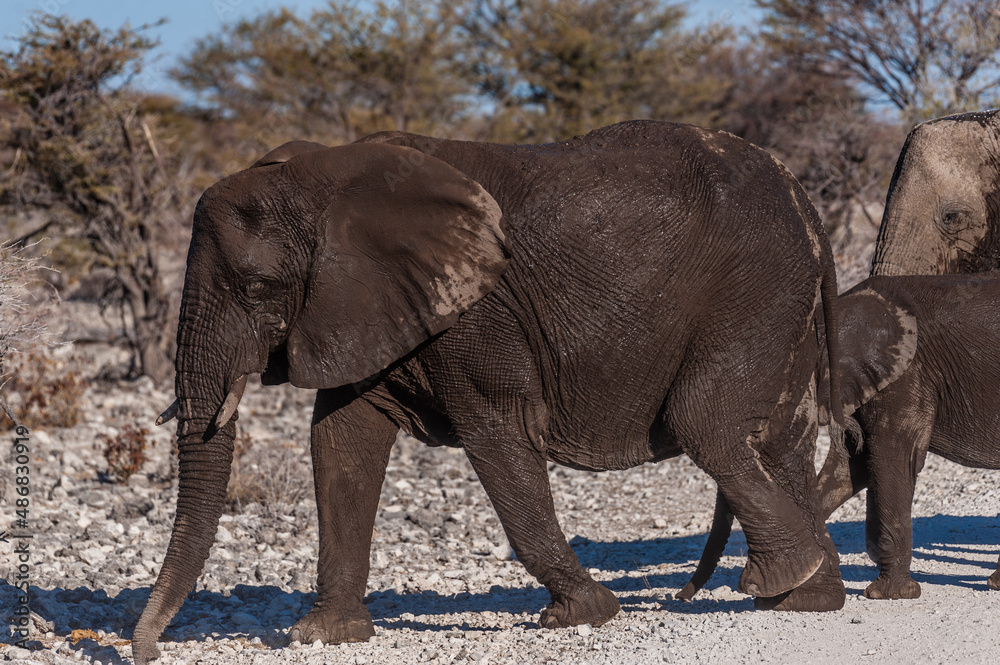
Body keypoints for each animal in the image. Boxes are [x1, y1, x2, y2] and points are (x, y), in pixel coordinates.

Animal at [131, 120, 847, 664]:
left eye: (257, 287)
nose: (147, 651)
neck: (329, 174)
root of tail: (806, 201)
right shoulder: (361, 306)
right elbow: (340, 443)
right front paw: (322, 635)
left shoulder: (477, 314)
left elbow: (496, 432)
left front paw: (582, 614)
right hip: (782, 296)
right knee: (781, 437)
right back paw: (808, 598)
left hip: (754, 284)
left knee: (707, 422)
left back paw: (780, 579)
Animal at [678, 273, 1000, 602]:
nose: (680, 597)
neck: (831, 314)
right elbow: (852, 468)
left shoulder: (907, 375)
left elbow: (894, 458)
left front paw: (887, 594)